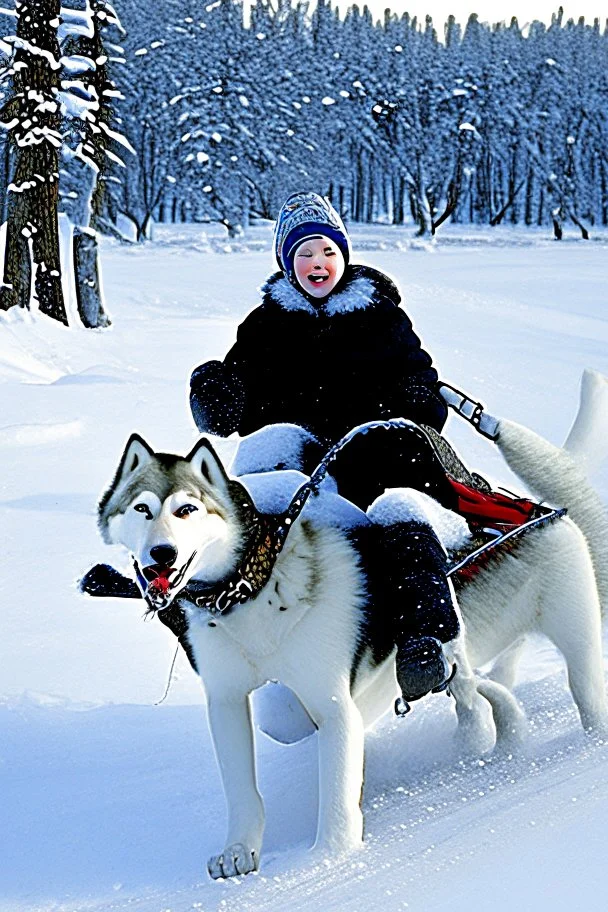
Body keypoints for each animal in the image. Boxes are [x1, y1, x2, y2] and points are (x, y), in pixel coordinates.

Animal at [97, 368, 604, 876]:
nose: (160, 555)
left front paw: (326, 859)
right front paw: (238, 852)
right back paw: (486, 724)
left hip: (574, 633)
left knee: (572, 690)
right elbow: (246, 784)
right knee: (481, 687)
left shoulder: (332, 702)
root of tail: (537, 511)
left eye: (187, 509)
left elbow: (337, 797)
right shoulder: (228, 699)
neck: (254, 588)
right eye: (142, 509)